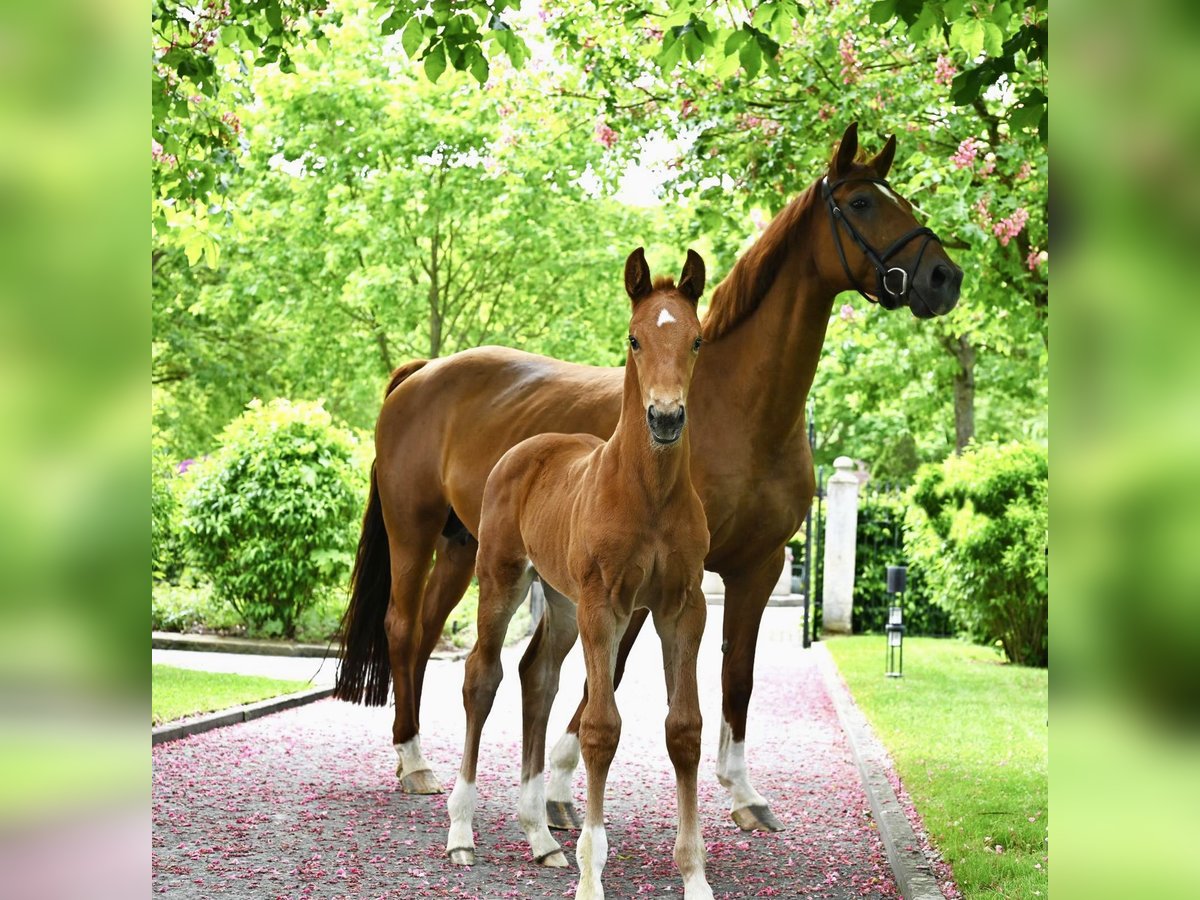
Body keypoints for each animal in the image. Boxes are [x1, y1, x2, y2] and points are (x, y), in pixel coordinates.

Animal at [448, 248, 710, 900]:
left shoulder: (683, 606)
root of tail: (527, 447)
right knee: (482, 676)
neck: (650, 494)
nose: (666, 418)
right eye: (635, 338)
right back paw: (461, 833)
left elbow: (684, 728)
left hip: (562, 603)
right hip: (504, 578)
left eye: (696, 339)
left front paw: (694, 876)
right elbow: (600, 728)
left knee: (537, 677)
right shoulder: (604, 605)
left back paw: (541, 838)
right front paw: (593, 874)